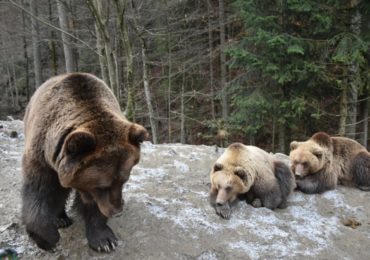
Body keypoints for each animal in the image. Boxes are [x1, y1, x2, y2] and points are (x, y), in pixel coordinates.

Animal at [21, 72, 147, 252]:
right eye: (102, 185)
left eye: (124, 180)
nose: (116, 210)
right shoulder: (42, 157)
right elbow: (39, 192)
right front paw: (47, 238)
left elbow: (94, 206)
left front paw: (104, 240)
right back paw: (61, 218)